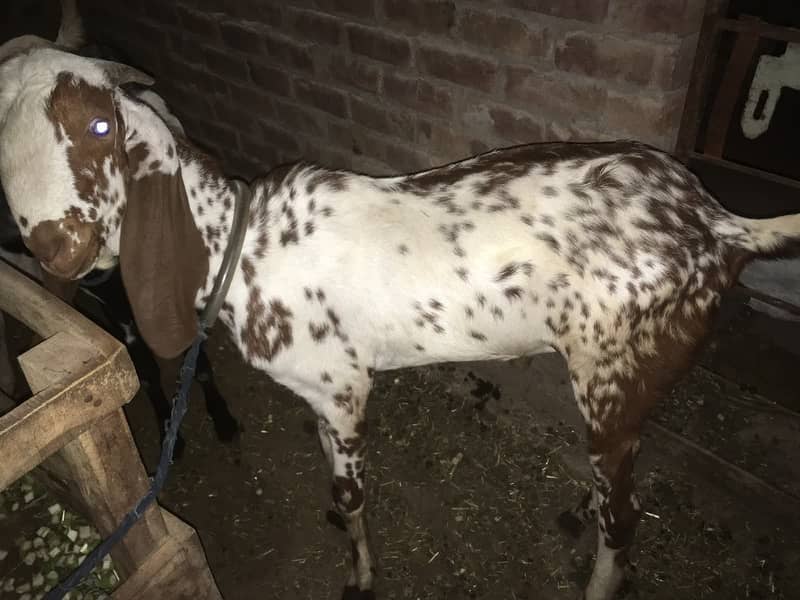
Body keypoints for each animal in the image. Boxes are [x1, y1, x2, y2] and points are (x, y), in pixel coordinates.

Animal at [2, 46, 800, 600]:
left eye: (99, 125)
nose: (53, 246)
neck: (244, 246)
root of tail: (721, 225)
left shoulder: (346, 388)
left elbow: (351, 495)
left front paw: (360, 575)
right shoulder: (318, 396)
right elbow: (329, 474)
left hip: (613, 372)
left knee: (626, 517)